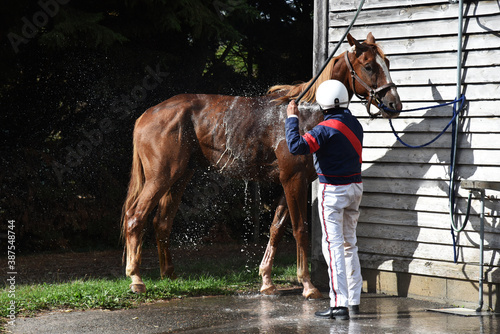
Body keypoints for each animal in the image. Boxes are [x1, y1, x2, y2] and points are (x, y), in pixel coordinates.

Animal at [120, 32, 402, 298]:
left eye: (387, 62)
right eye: (368, 66)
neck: (304, 113)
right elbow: (300, 229)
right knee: (135, 217)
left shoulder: (289, 182)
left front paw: (267, 281)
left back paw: (169, 275)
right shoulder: (294, 180)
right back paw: (136, 279)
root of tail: (146, 115)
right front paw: (308, 285)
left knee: (162, 222)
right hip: (160, 177)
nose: (394, 104)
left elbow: (276, 228)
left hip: (180, 177)